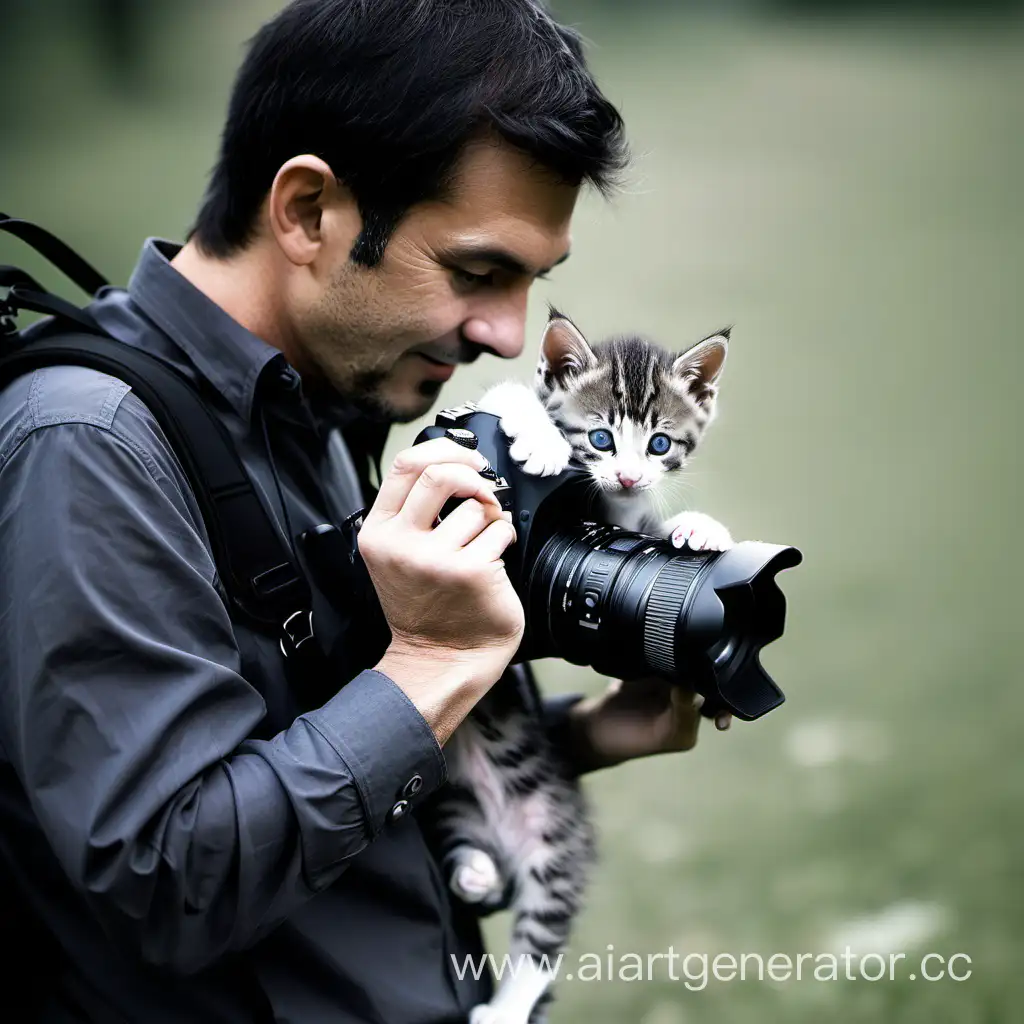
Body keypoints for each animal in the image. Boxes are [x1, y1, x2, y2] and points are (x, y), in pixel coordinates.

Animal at [428, 311, 733, 1024]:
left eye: (659, 445)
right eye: (599, 438)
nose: (626, 476)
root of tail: (508, 839)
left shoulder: (619, 510)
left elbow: (638, 525)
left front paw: (702, 529)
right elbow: (512, 395)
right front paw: (536, 437)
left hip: (556, 843)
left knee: (542, 933)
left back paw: (503, 1005)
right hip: (455, 807)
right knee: (470, 862)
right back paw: (477, 874)